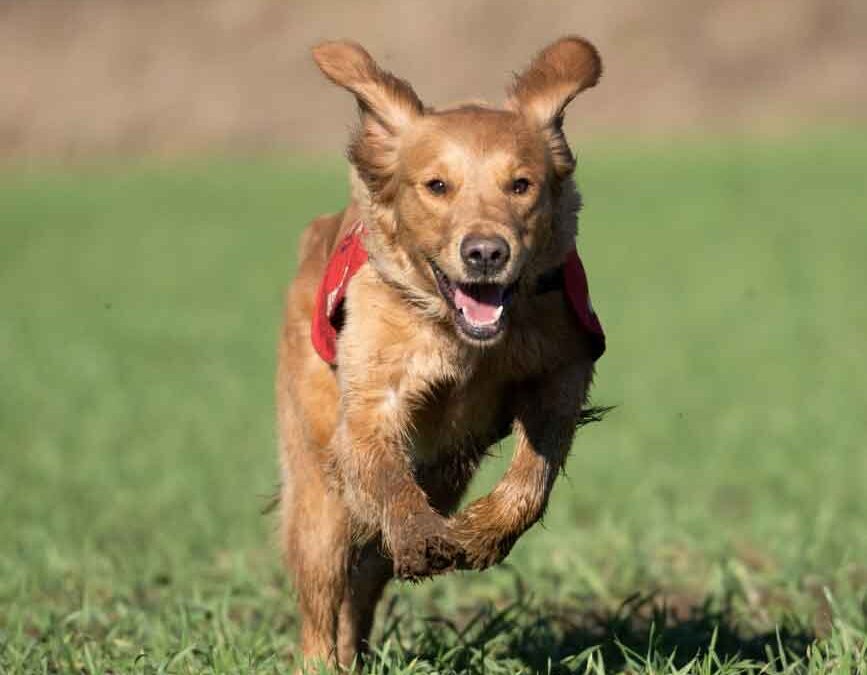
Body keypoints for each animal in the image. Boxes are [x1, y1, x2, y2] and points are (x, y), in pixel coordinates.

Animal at [276, 35, 604, 664]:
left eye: (520, 185)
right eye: (437, 186)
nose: (486, 253)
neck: (463, 341)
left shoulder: (562, 369)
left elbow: (533, 478)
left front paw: (481, 534)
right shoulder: (370, 402)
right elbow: (386, 479)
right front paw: (420, 536)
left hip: (444, 473)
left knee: (363, 583)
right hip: (316, 488)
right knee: (323, 595)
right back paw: (325, 660)